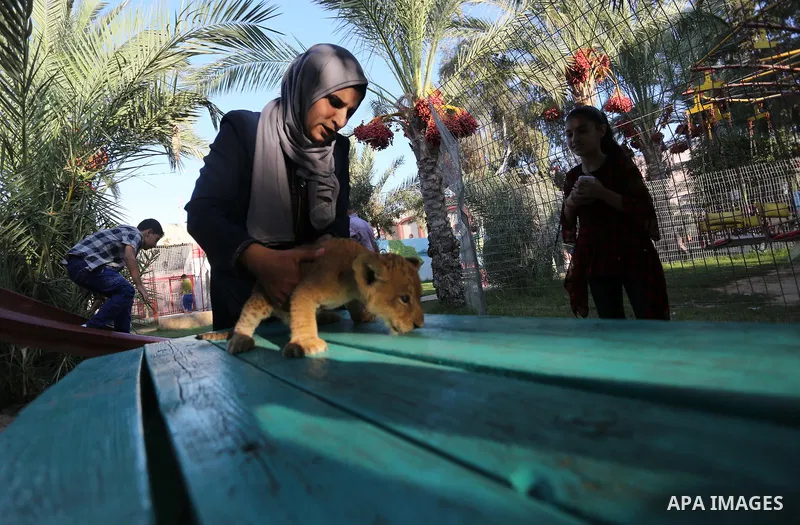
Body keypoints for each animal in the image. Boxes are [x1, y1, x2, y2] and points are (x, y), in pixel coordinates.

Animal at [196, 237, 425, 357]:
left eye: (419, 296)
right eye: (405, 299)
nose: (419, 325)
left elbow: (352, 305)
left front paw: (363, 315)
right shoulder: (305, 289)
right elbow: (303, 317)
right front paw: (306, 343)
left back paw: (327, 317)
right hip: (262, 297)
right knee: (248, 316)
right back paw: (240, 340)